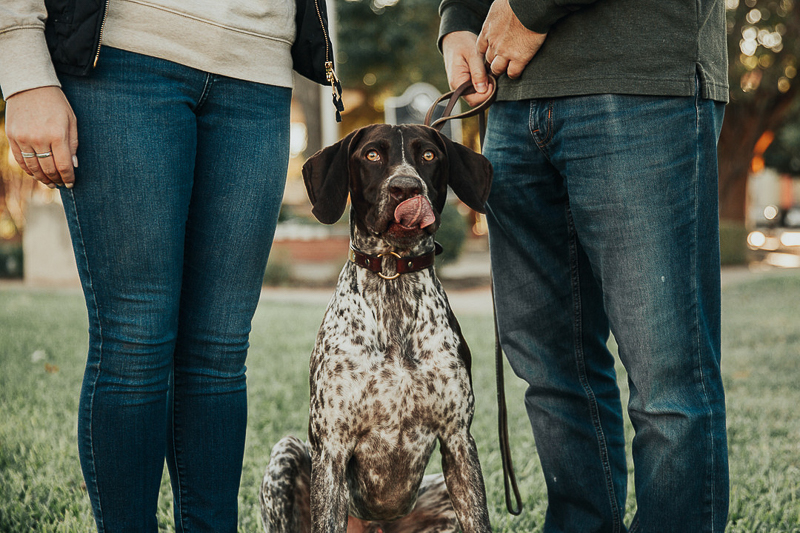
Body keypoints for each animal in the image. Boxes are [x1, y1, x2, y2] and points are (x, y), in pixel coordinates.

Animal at [262, 123, 494, 532]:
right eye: (371, 154)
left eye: (429, 154)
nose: (406, 188)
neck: (392, 279)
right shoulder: (332, 447)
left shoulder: (458, 441)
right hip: (285, 453)